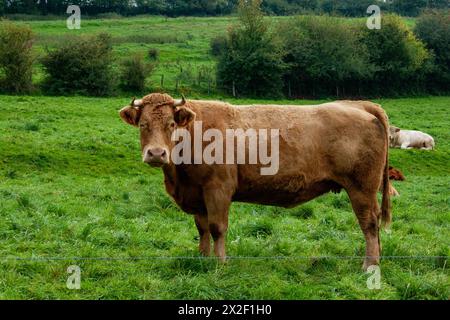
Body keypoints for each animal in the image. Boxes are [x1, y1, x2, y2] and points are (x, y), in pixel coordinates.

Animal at [119, 93, 390, 270]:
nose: (156, 154)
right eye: (143, 124)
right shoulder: (197, 194)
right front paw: (203, 259)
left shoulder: (218, 189)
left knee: (369, 224)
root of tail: (360, 105)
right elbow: (202, 228)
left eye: (172, 123)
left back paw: (369, 265)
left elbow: (217, 228)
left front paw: (220, 263)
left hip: (362, 189)